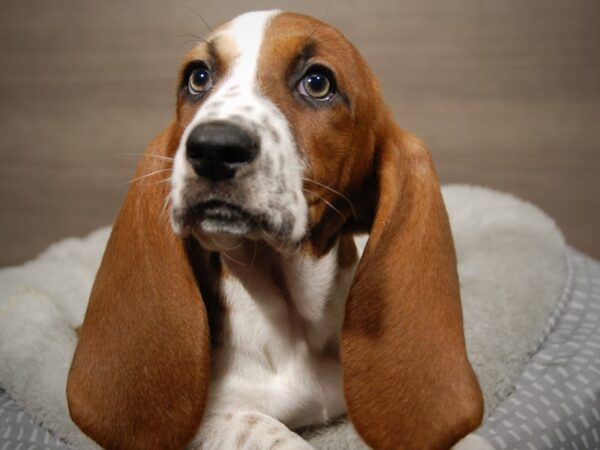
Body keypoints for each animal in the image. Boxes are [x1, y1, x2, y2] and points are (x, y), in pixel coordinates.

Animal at [68, 10, 486, 450]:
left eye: (318, 82)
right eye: (198, 77)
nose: (213, 148)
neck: (293, 323)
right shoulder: (214, 421)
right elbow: (268, 430)